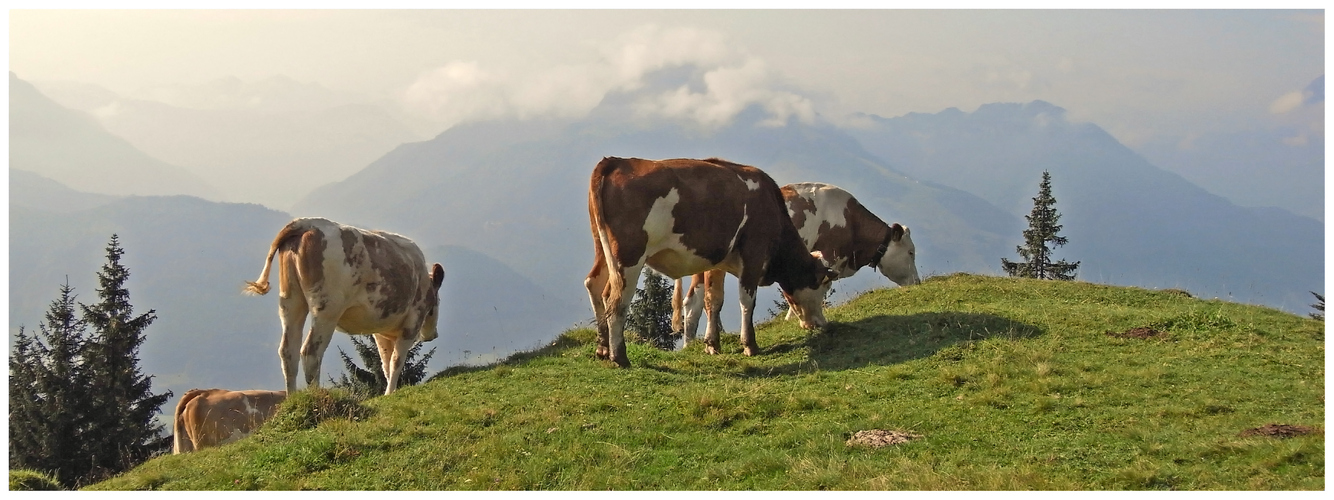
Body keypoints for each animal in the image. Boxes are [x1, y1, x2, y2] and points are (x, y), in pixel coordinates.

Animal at [242, 218, 445, 394]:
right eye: (437, 301)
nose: (434, 335)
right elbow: (396, 361)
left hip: (291, 302)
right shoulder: (412, 322)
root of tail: (308, 222)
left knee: (288, 351)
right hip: (327, 310)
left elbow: (386, 363)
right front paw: (390, 393)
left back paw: (291, 398)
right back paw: (315, 395)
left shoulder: (380, 331)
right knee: (310, 351)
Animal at [584, 154, 832, 365]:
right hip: (629, 257)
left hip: (602, 248)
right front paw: (750, 345)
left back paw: (603, 348)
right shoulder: (754, 252)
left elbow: (713, 299)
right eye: (820, 284)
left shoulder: (717, 261)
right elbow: (747, 300)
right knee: (617, 299)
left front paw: (712, 344)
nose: (822, 324)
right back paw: (619, 356)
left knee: (595, 285)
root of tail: (616, 161)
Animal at [677, 182, 917, 344]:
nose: (917, 282)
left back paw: (689, 345)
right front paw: (796, 319)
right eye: (911, 252)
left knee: (692, 302)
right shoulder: (827, 257)